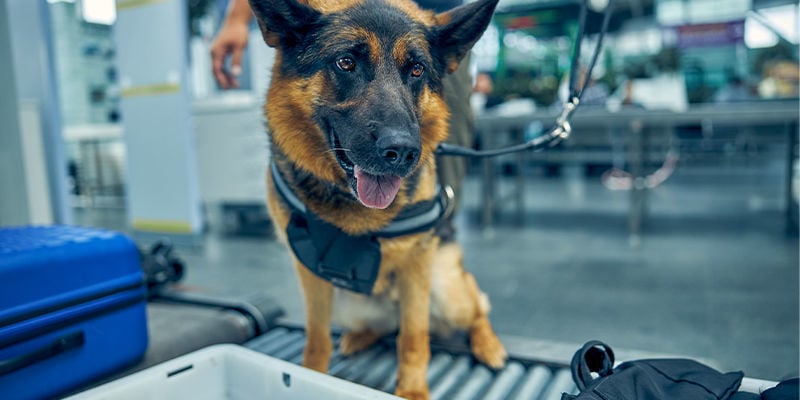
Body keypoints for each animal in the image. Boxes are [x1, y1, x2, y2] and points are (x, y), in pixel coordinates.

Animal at [250, 0, 504, 396]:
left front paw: (412, 391)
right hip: (349, 305)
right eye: (346, 63)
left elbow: (413, 337)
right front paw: (312, 375)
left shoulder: (417, 266)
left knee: (476, 309)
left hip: (447, 289)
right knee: (383, 327)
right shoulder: (310, 275)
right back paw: (359, 337)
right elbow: (316, 337)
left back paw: (489, 344)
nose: (402, 152)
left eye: (416, 70)